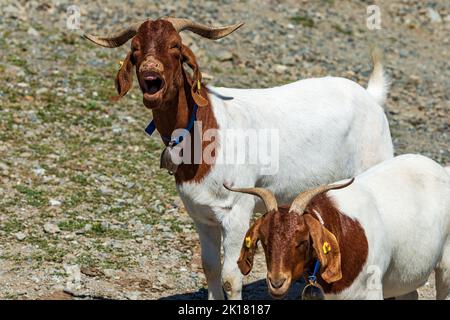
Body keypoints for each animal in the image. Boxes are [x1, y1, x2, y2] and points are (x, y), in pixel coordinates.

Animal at [84, 17, 394, 298]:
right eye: (135, 48)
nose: (150, 73)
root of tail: (370, 97)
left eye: (175, 46)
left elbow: (231, 278)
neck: (206, 127)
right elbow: (209, 268)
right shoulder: (201, 214)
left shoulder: (236, 211)